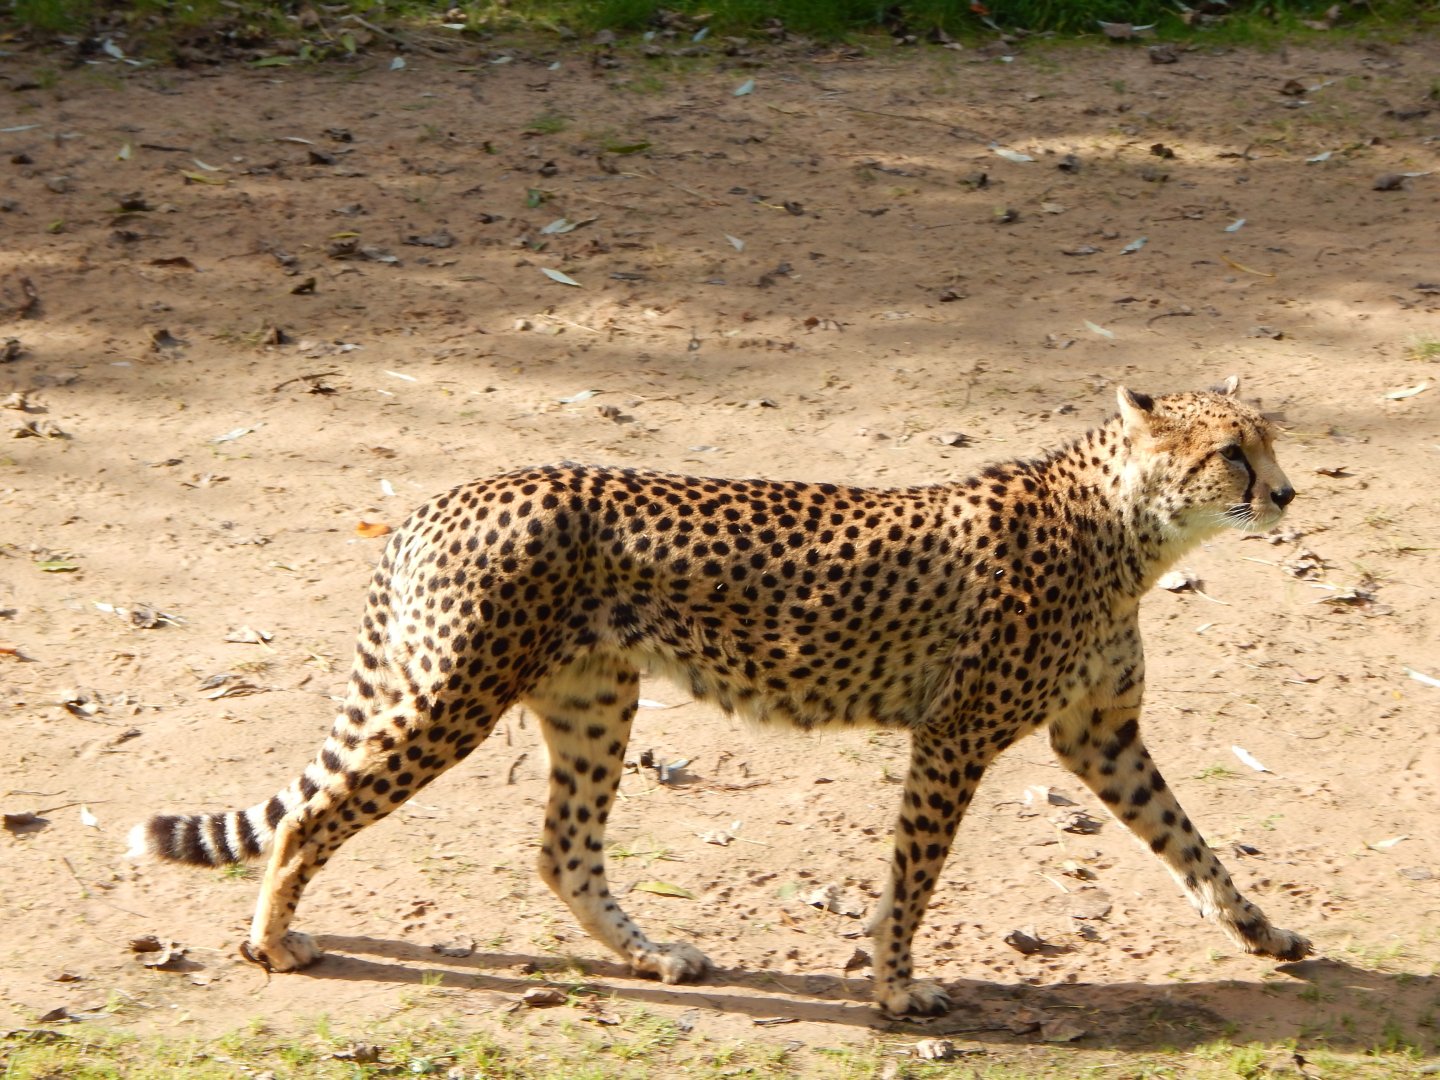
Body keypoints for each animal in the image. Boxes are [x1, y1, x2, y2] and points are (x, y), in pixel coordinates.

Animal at [129, 376, 1311, 1017]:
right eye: (1230, 452)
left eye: (1271, 441)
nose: (1289, 494)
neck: (1128, 530)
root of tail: (447, 496)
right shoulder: (954, 737)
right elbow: (913, 879)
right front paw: (895, 991)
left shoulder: (1099, 734)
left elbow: (1190, 841)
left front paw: (1263, 931)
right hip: (455, 697)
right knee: (316, 817)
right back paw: (272, 941)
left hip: (592, 704)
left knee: (562, 850)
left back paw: (655, 955)